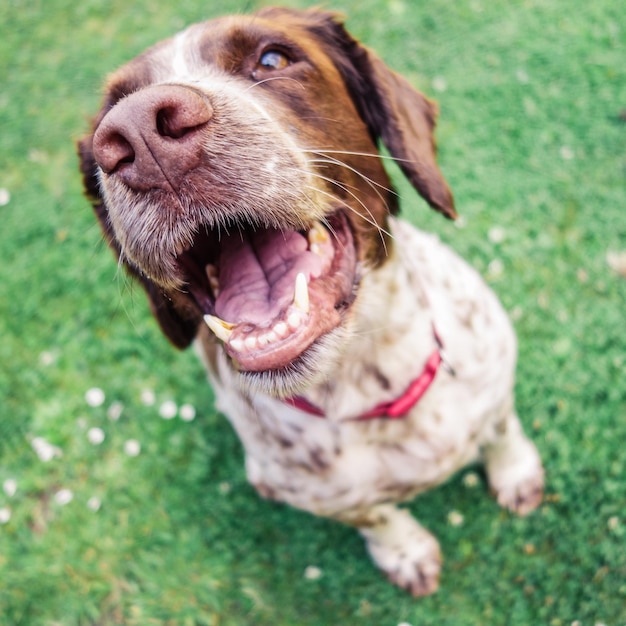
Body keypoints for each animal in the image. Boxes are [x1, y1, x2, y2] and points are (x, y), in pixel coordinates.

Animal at [79, 8, 540, 596]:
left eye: (273, 58)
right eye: (105, 120)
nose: (136, 133)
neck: (369, 382)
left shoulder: (495, 383)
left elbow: (501, 431)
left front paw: (516, 473)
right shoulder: (335, 500)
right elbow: (378, 518)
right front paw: (406, 554)